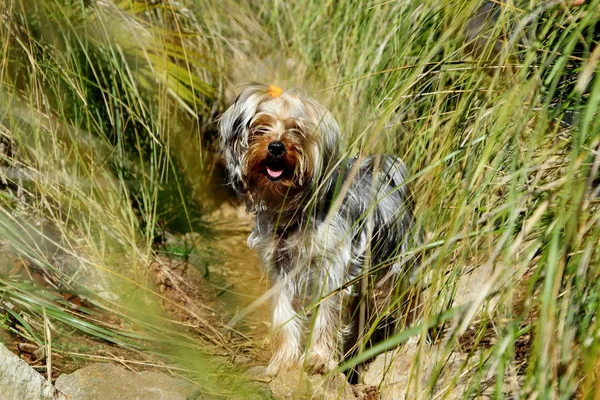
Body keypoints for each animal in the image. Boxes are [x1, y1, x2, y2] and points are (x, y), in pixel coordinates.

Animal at [218, 83, 420, 376]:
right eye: (260, 127)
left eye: (296, 130)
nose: (276, 147)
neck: (292, 208)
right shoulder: (281, 267)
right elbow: (284, 315)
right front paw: (284, 361)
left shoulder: (332, 265)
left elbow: (326, 313)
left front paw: (319, 359)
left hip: (399, 265)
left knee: (409, 299)